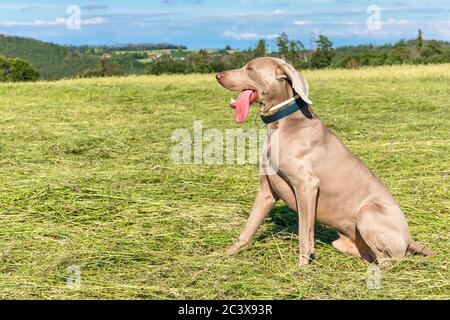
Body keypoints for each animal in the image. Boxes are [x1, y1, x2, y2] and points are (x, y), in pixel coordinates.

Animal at [216, 57, 434, 264]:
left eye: (250, 69)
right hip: (344, 241)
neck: (283, 123)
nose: (218, 75)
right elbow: (247, 229)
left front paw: (301, 270)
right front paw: (223, 255)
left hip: (369, 212)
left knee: (388, 261)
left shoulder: (307, 185)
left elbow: (305, 235)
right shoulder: (266, 191)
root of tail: (410, 239)